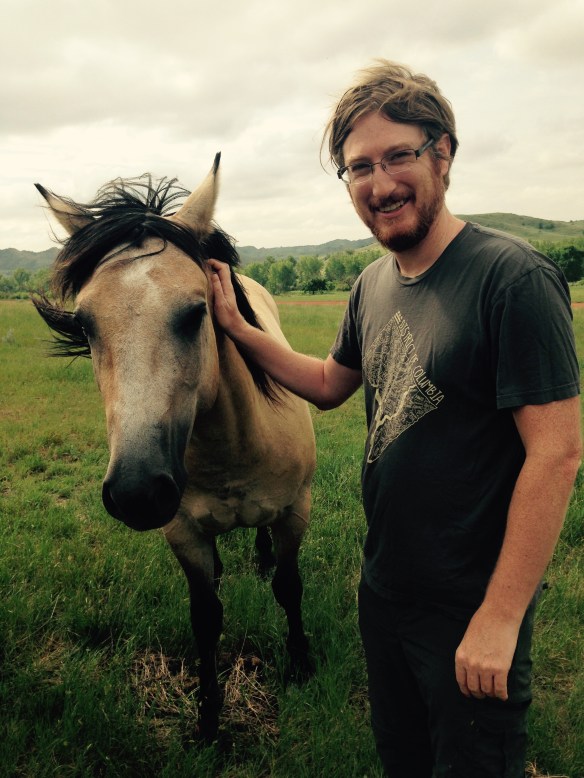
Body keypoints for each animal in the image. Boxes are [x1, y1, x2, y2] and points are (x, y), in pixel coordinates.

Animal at [32, 154, 316, 741]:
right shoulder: (183, 533)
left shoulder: (295, 512)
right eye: (86, 326)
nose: (138, 492)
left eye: (196, 312)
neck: (231, 453)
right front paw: (208, 720)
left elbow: (288, 586)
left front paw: (301, 663)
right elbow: (205, 618)